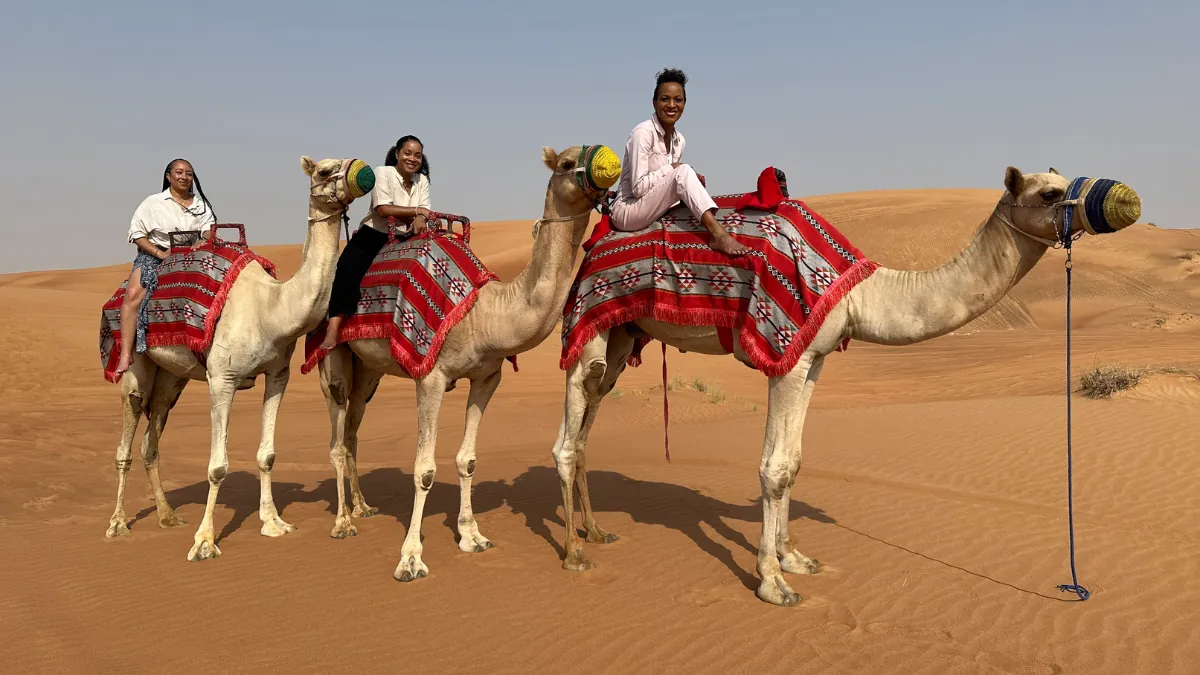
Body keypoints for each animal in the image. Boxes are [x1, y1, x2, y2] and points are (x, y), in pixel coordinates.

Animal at [105, 156, 375, 564]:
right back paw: (118, 523)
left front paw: (273, 523)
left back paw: (168, 516)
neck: (271, 308)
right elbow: (217, 466)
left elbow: (267, 455)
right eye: (324, 171)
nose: (364, 172)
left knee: (151, 441)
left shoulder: (277, 375)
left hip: (172, 377)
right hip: (136, 365)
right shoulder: (222, 378)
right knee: (126, 440)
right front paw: (204, 541)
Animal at [316, 144, 618, 582]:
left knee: (354, 428)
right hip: (333, 360)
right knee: (338, 439)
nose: (611, 166)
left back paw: (363, 507)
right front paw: (410, 558)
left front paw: (472, 537)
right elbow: (424, 468)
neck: (484, 312)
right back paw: (342, 523)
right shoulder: (431, 376)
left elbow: (468, 459)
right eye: (565, 163)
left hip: (368, 371)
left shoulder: (487, 376)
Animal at [549, 166, 1141, 606]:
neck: (863, 293)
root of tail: (595, 242)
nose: (1126, 200)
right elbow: (773, 468)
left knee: (588, 425)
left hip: (625, 334)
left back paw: (595, 532)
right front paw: (772, 582)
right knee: (567, 435)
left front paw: (794, 558)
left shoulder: (812, 358)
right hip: (593, 323)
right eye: (1050, 192)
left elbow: (792, 462)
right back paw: (574, 554)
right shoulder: (784, 354)